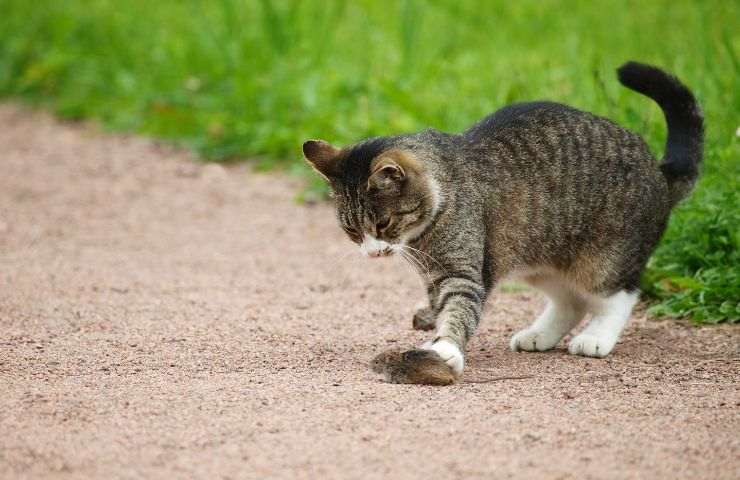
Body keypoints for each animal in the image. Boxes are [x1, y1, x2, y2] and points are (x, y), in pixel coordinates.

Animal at [302, 62, 704, 386]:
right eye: (353, 232)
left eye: (383, 223)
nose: (373, 252)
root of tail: (660, 171)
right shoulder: (436, 273)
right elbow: (440, 305)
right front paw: (433, 329)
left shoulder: (462, 271)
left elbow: (459, 308)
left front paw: (445, 348)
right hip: (535, 253)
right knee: (570, 302)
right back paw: (540, 334)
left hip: (604, 258)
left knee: (618, 295)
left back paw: (597, 337)